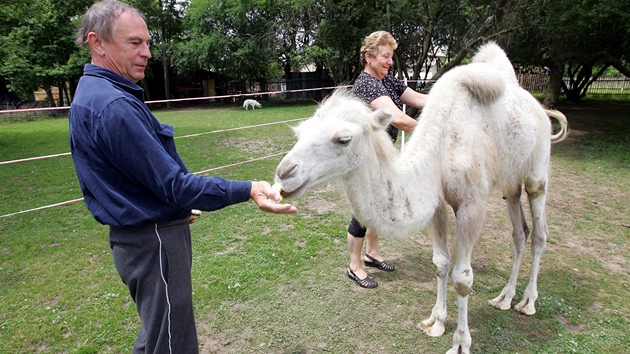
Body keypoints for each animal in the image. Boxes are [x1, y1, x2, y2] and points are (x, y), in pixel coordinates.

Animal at [276, 42, 572, 354]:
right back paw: (504, 298)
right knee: (519, 233)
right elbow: (440, 264)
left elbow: (462, 277)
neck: (439, 152)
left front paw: (460, 343)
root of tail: (541, 109)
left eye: (343, 139)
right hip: (510, 183)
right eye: (300, 132)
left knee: (539, 232)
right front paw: (436, 323)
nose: (284, 173)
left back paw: (527, 302)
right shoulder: (437, 204)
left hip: (537, 172)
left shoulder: (472, 205)